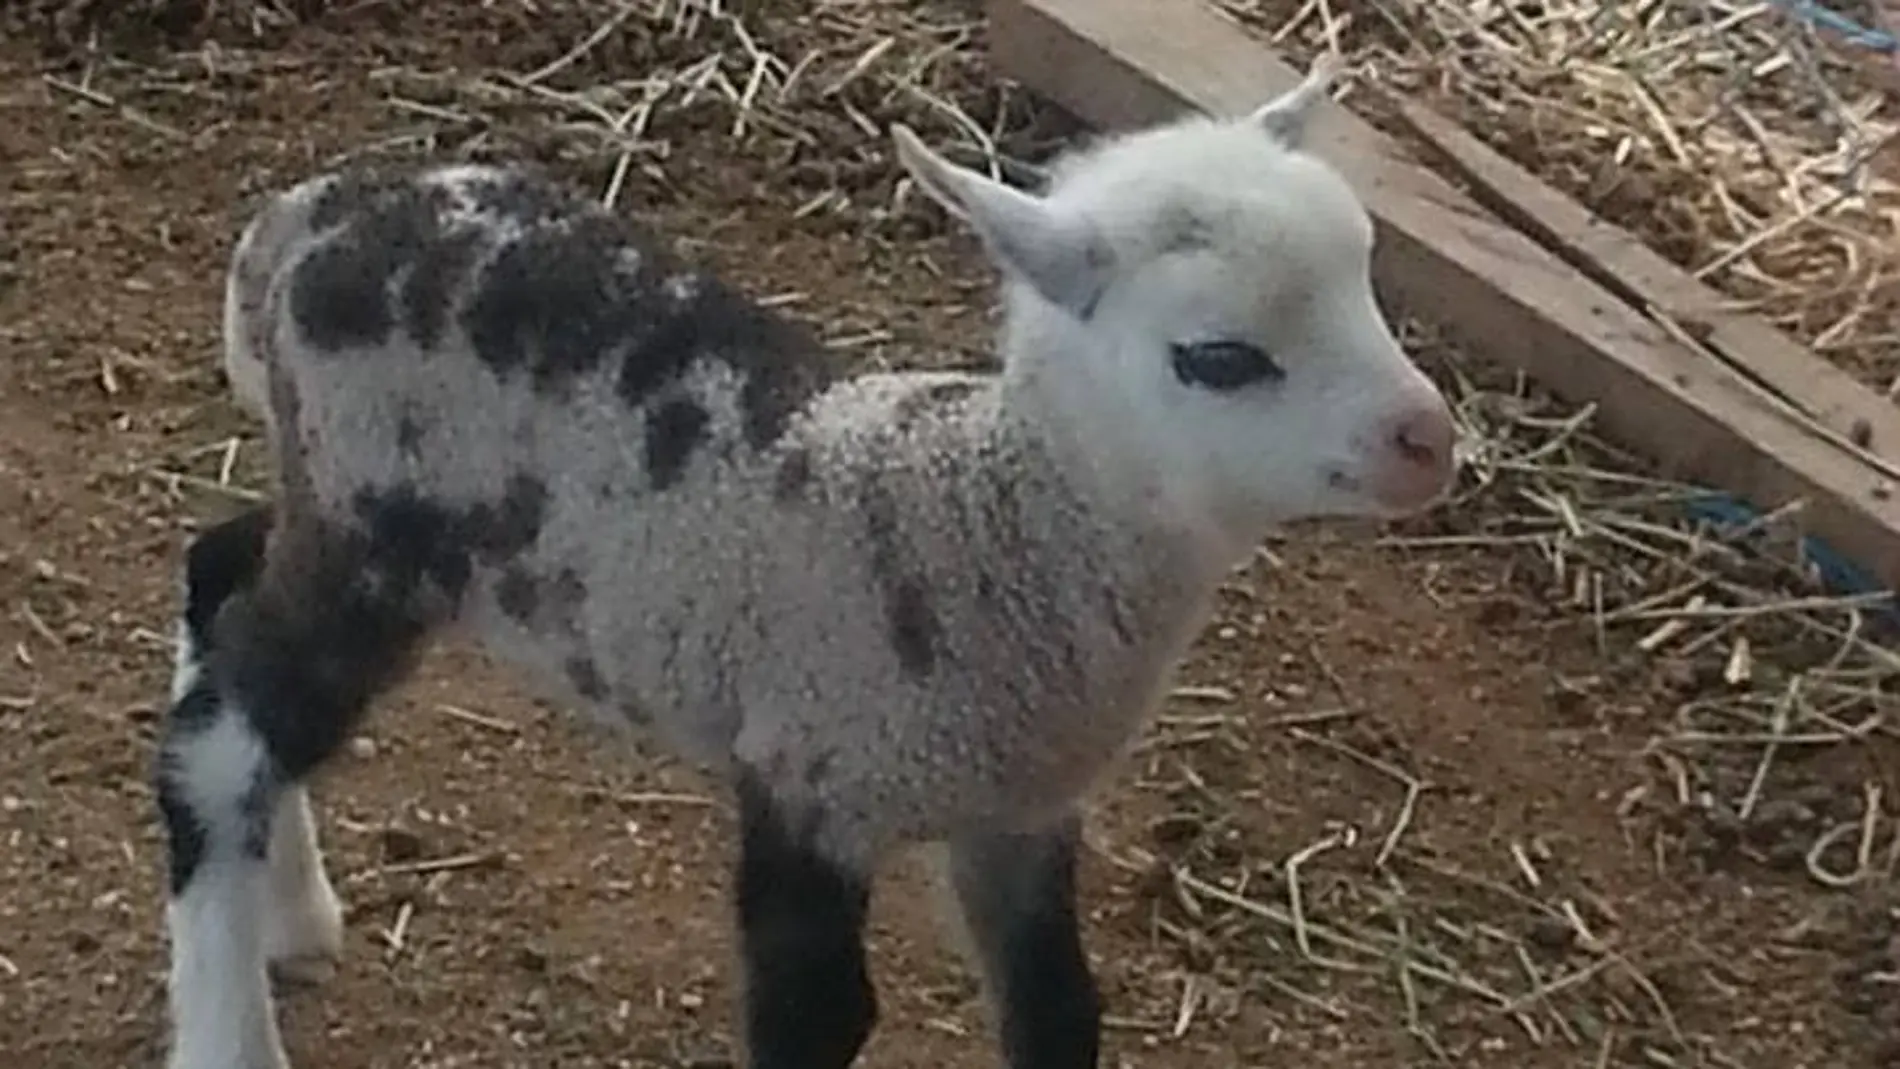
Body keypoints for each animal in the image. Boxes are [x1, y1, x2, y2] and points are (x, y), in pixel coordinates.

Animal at [151, 52, 1456, 1069]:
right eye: (1217, 357)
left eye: (1365, 272)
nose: (1429, 439)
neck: (981, 515)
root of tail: (299, 224)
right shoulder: (808, 772)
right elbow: (819, 1018)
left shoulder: (1018, 815)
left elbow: (1058, 1011)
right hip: (372, 528)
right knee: (220, 746)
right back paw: (230, 1022)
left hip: (328, 498)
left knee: (220, 582)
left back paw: (290, 908)